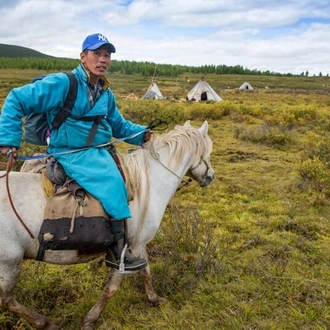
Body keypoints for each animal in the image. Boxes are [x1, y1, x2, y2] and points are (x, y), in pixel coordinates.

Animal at [0, 121, 214, 330]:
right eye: (208, 152)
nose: (211, 176)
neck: (147, 184)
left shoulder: (139, 244)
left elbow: (145, 270)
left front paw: (154, 299)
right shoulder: (128, 250)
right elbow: (112, 287)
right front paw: (90, 320)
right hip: (9, 263)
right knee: (6, 299)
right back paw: (45, 323)